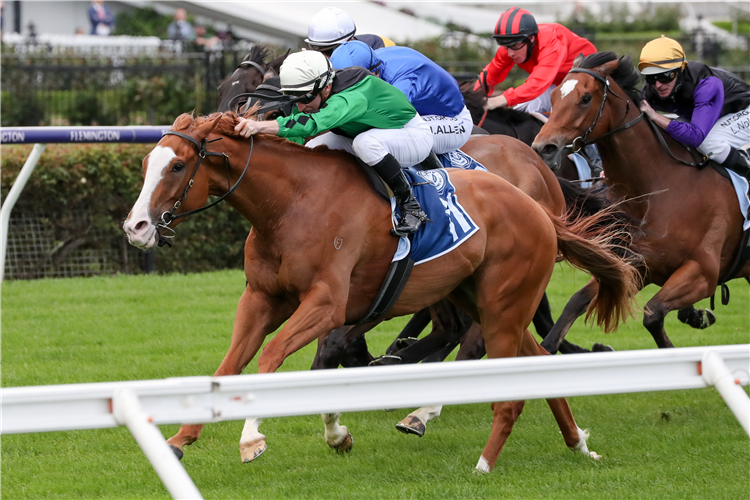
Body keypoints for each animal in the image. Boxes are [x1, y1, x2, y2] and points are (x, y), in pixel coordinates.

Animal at [123, 110, 640, 472]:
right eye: (147, 162)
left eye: (177, 166)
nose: (136, 227)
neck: (291, 204)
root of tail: (541, 207)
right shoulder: (262, 300)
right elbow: (230, 367)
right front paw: (179, 440)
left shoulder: (327, 303)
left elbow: (271, 360)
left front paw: (252, 438)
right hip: (482, 299)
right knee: (535, 359)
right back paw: (579, 444)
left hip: (501, 304)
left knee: (497, 372)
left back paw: (469, 451)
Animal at [536, 52, 750, 354]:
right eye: (554, 97)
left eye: (585, 98)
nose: (544, 148)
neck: (659, 187)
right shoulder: (634, 265)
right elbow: (572, 306)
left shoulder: (703, 272)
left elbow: (653, 314)